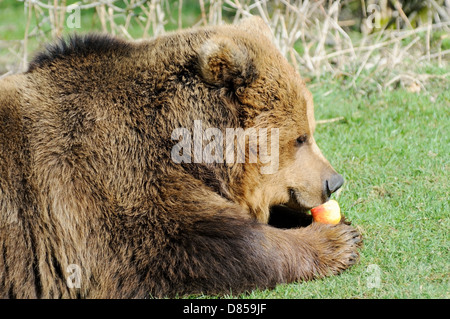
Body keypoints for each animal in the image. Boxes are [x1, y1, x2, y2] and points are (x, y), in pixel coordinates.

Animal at [0, 16, 360, 298]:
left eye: (310, 128)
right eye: (300, 137)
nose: (334, 181)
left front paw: (334, 222)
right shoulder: (110, 181)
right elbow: (198, 243)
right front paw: (337, 240)